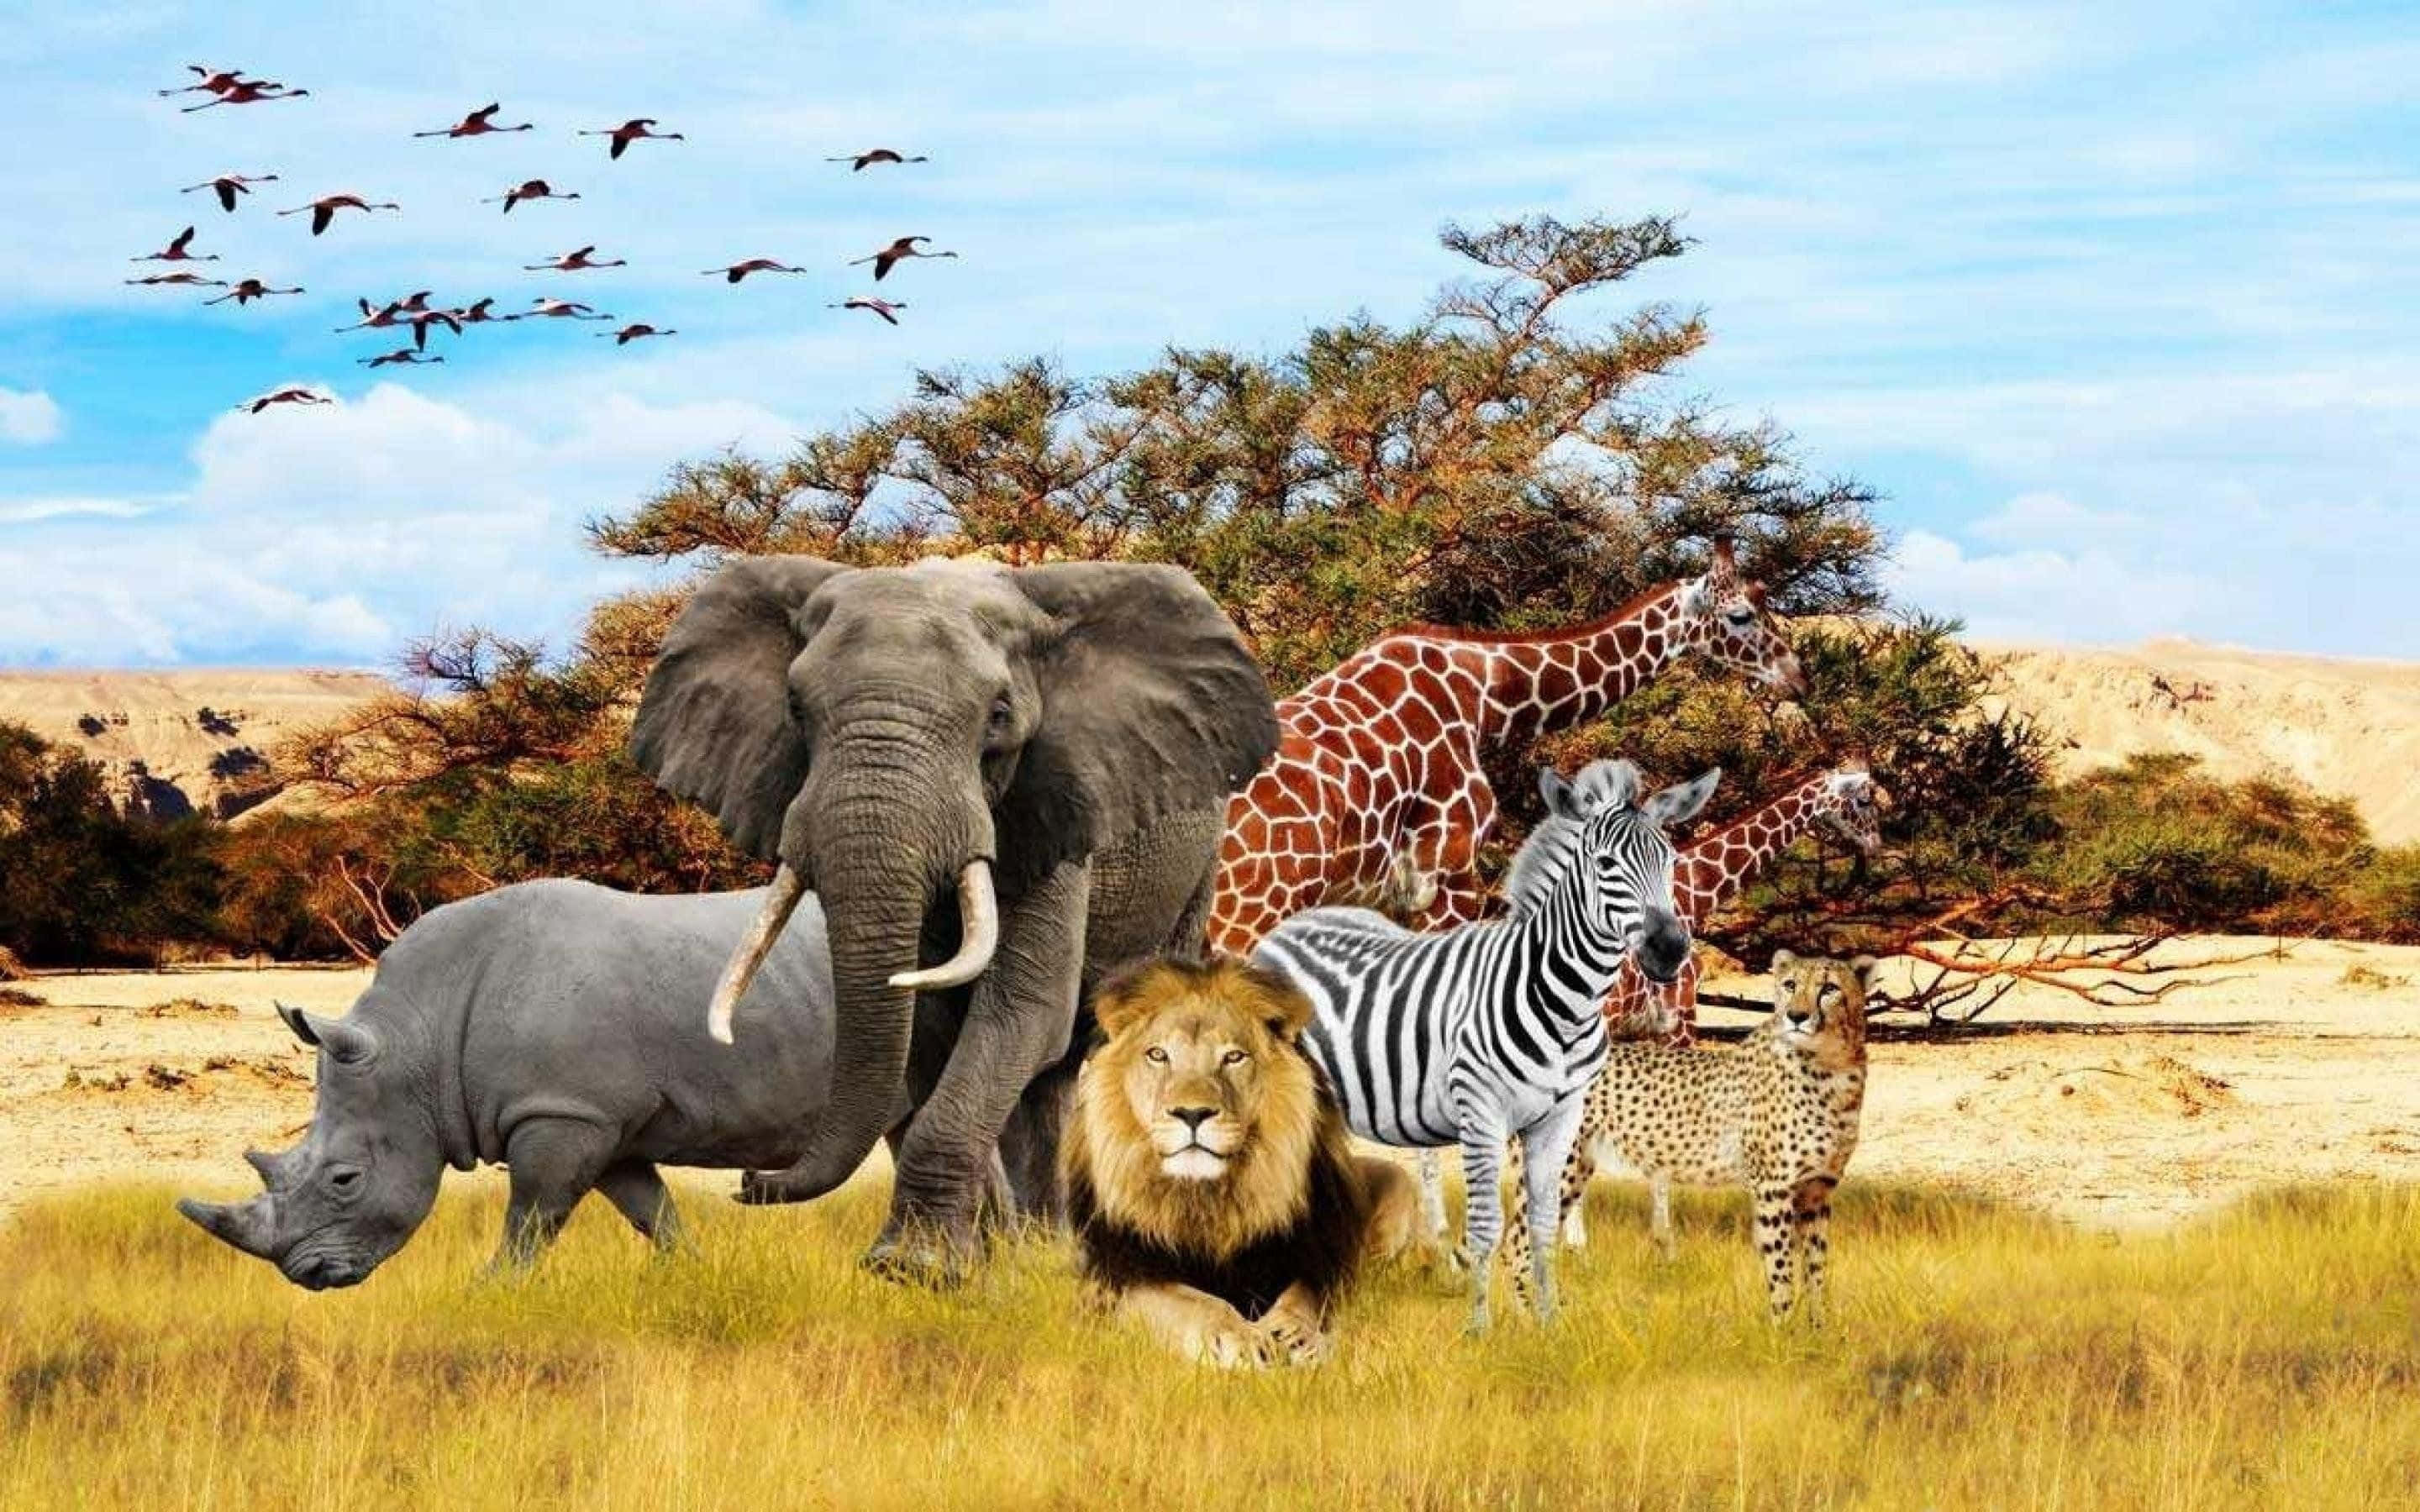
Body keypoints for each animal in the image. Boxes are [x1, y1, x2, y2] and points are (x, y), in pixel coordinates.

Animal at [629, 555, 1279, 1282]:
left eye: (998, 715)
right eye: (795, 708)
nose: (748, 1183)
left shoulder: (1053, 809)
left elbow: (1023, 1009)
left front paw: (915, 1269)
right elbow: (930, 1029)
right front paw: (962, 1262)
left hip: (1195, 869)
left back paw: (1055, 1252)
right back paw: (1034, 1247)